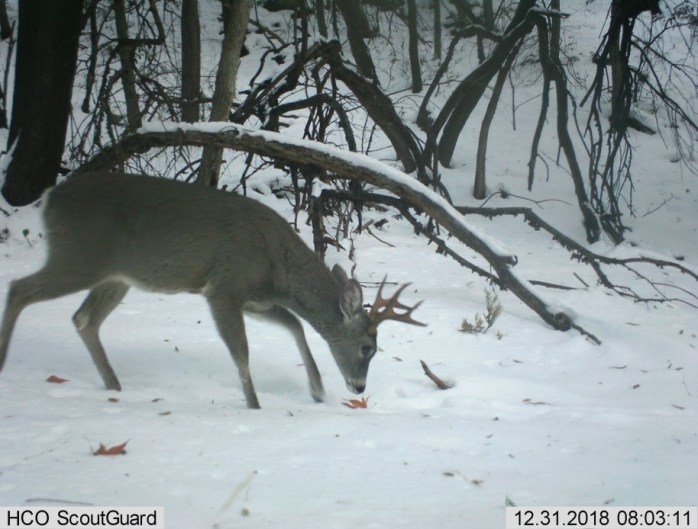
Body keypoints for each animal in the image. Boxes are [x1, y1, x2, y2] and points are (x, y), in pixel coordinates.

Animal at [0, 172, 425, 408]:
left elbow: (295, 325)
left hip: (117, 276)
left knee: (84, 318)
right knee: (20, 288)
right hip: (79, 256)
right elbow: (241, 352)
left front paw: (318, 391)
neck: (278, 267)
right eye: (368, 348)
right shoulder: (224, 286)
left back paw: (114, 385)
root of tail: (49, 199)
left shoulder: (254, 298)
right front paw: (254, 405)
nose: (359, 386)